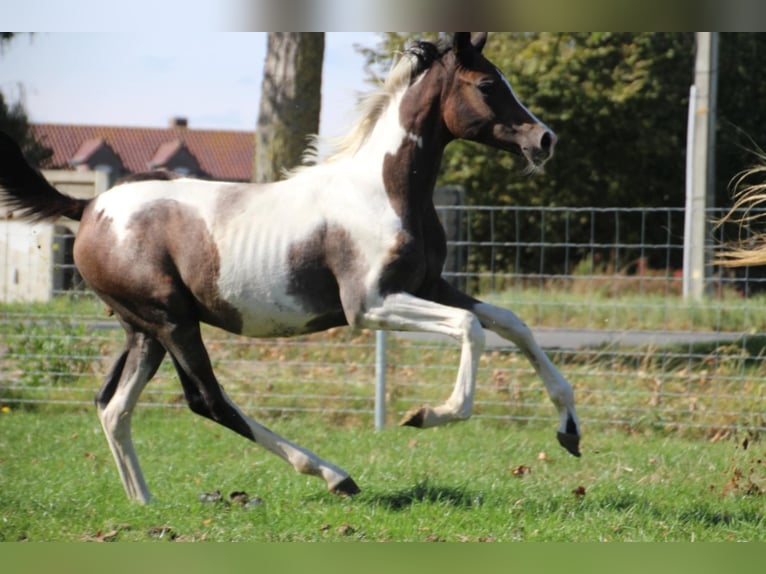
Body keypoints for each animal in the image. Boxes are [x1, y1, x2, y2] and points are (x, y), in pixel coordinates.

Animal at [0, 32, 580, 503]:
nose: (545, 140)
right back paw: (334, 476)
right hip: (171, 322)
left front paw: (569, 430)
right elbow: (472, 328)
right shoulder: (369, 306)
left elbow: (510, 322)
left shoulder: (429, 285)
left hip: (142, 330)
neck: (382, 190)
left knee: (113, 405)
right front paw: (428, 415)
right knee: (207, 400)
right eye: (487, 84)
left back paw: (145, 503)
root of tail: (90, 207)